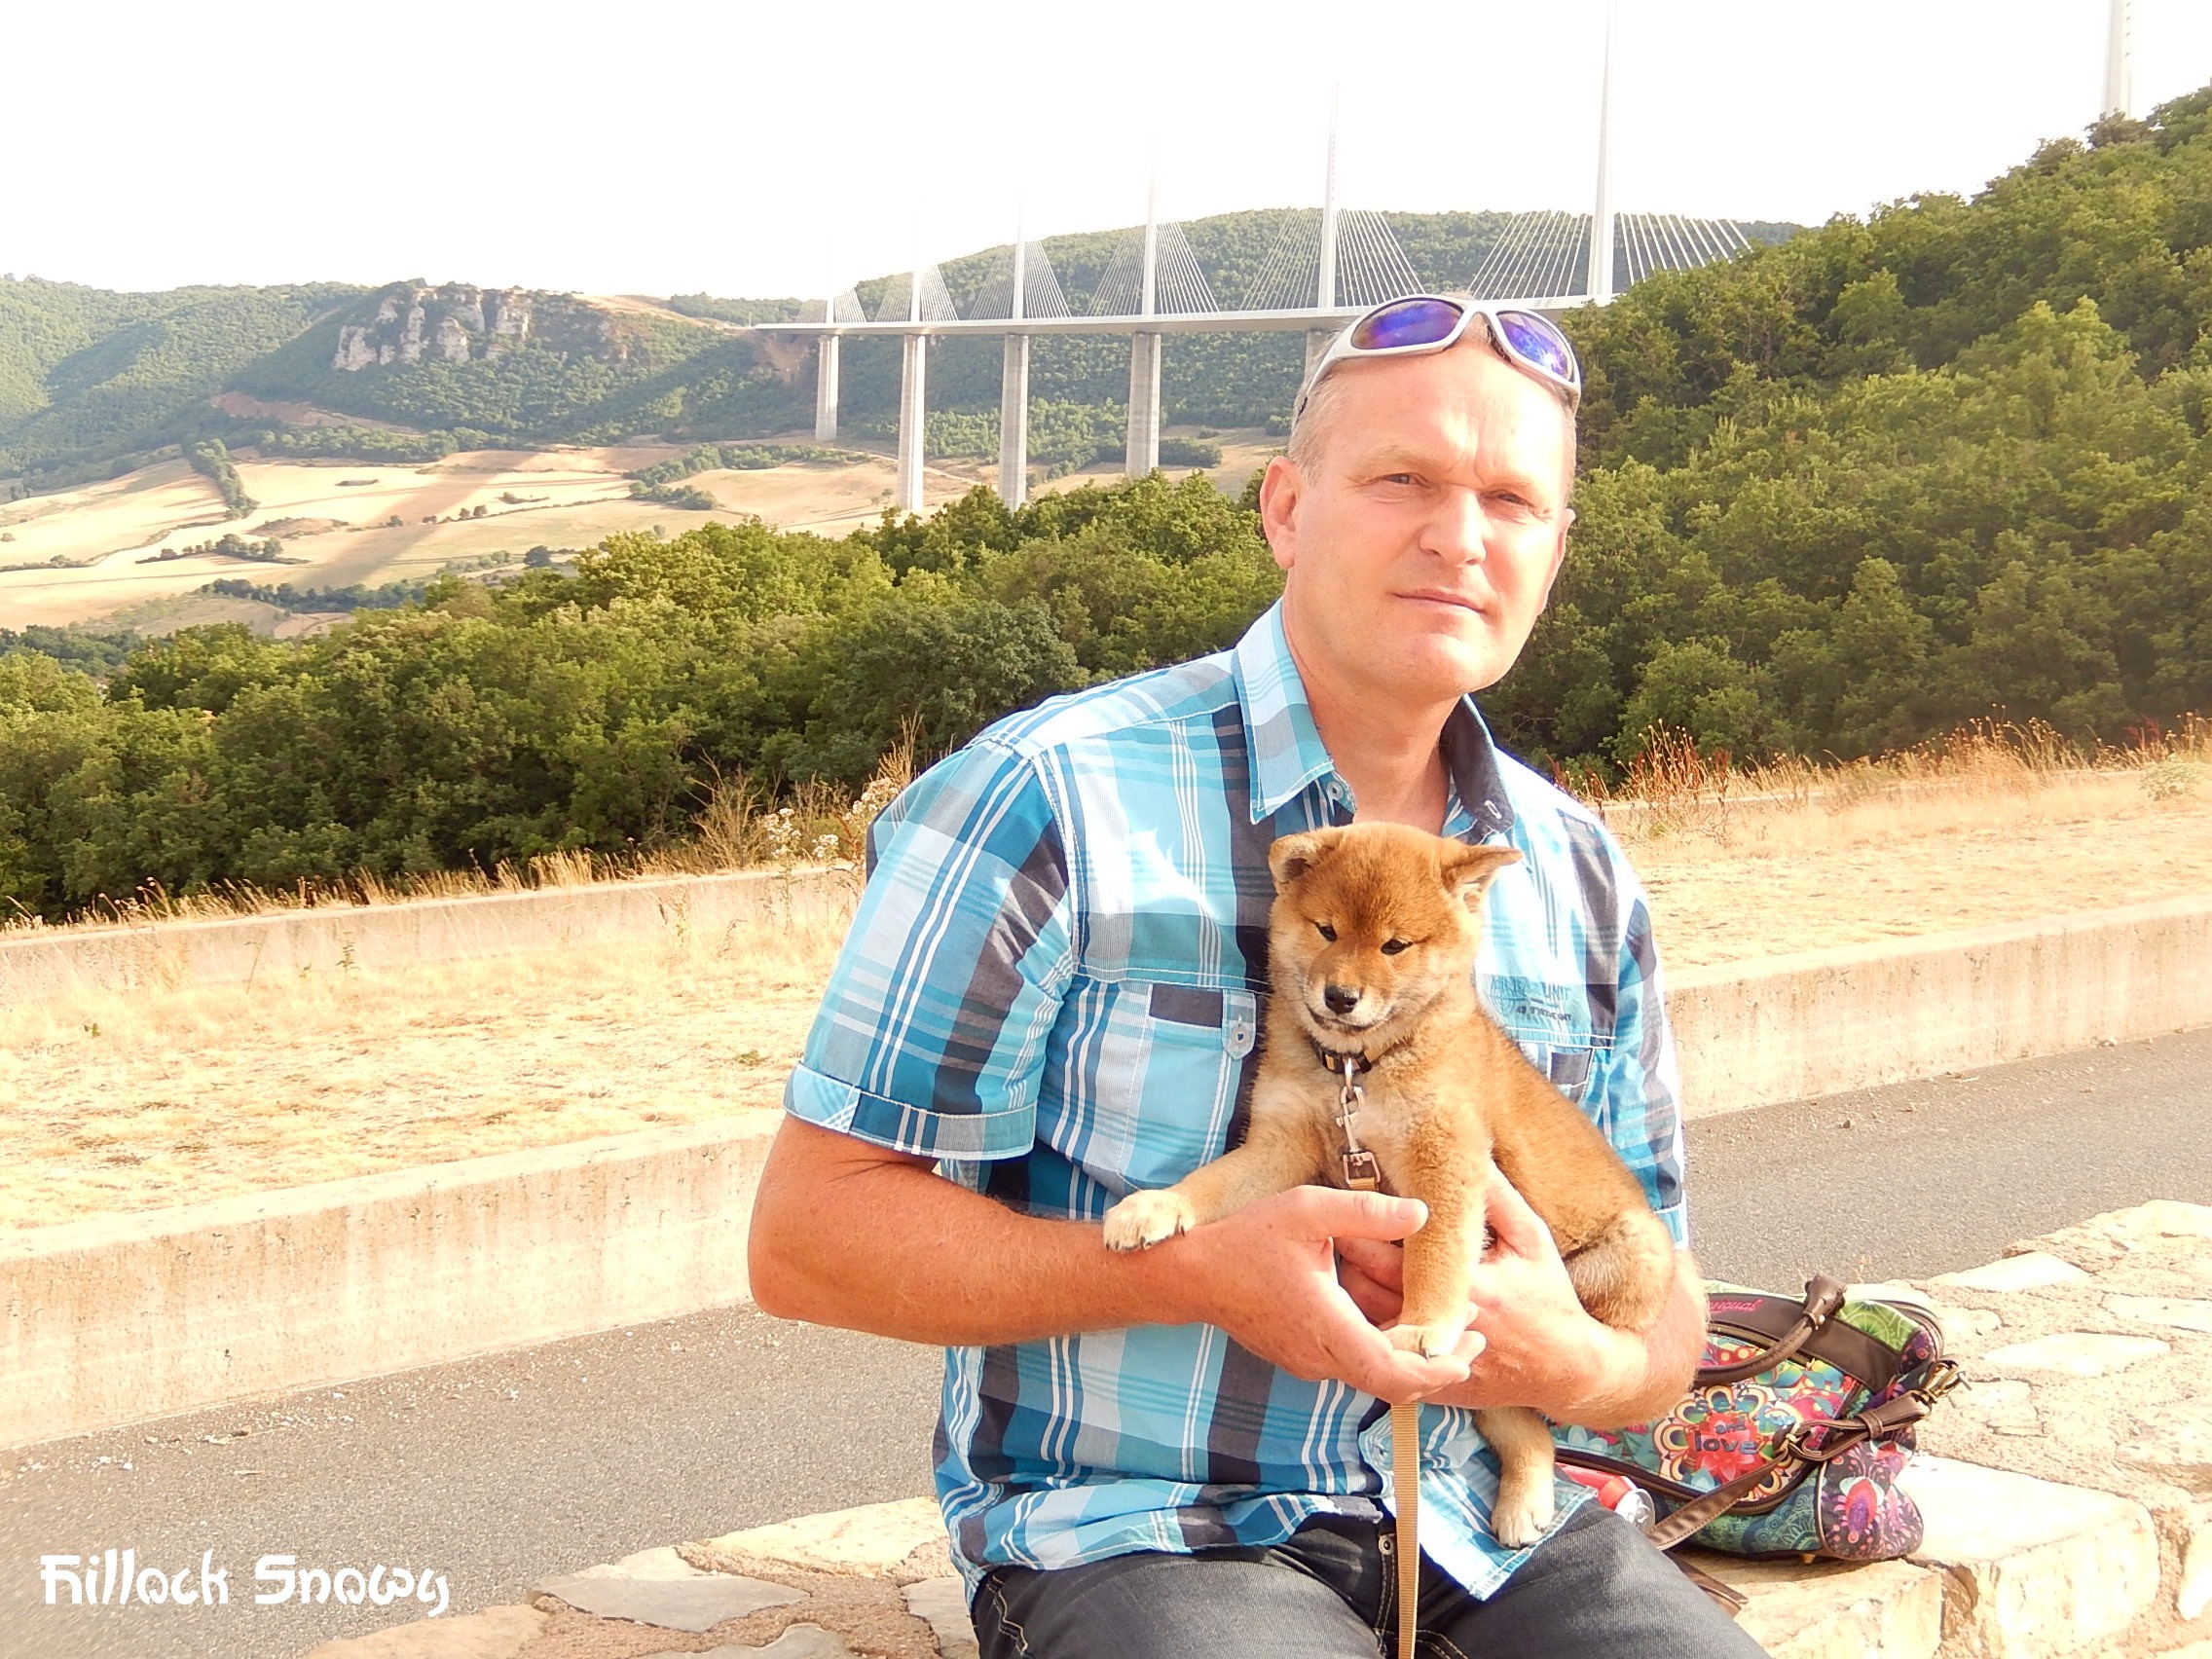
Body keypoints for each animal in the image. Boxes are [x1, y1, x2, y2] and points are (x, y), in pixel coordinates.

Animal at [1106, 818, 1672, 1548]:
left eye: (1394, 944)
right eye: (1326, 930)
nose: (1340, 997)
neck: (1358, 1070)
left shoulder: (1445, 1162)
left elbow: (1435, 1253)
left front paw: (1425, 1324)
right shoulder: (1280, 1147)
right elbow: (1212, 1182)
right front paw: (1155, 1206)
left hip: (1625, 1257)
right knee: (1523, 1429)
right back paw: (1523, 1504)